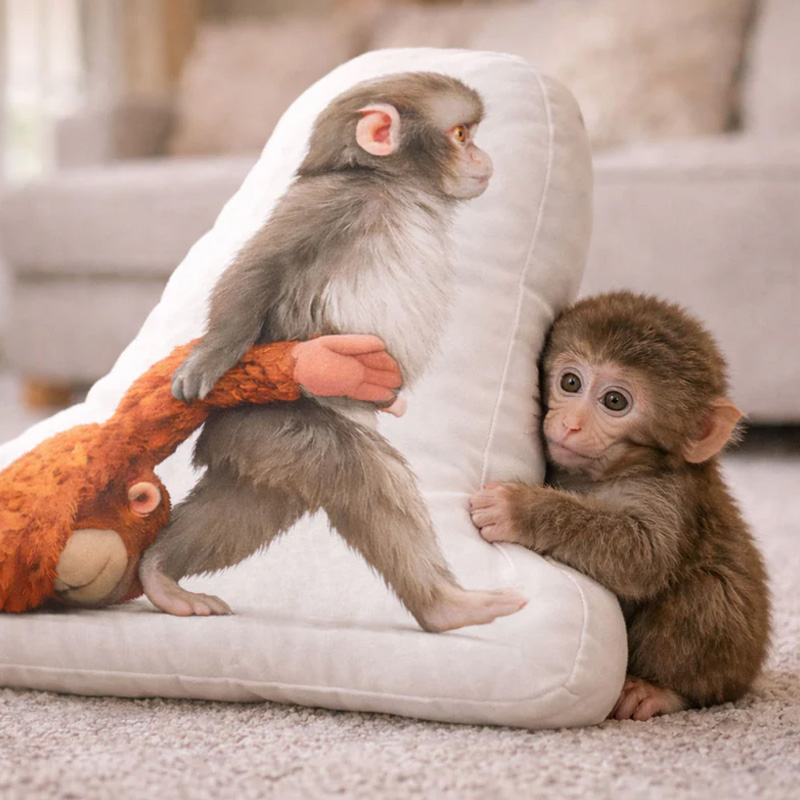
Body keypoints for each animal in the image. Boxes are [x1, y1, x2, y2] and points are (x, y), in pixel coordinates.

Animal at [139, 72, 528, 632]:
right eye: (460, 134)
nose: (483, 155)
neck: (393, 188)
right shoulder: (330, 201)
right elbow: (259, 266)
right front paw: (210, 356)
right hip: (279, 425)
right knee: (365, 474)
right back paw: (446, 606)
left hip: (266, 452)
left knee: (250, 505)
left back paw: (160, 570)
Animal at [469, 292, 770, 720]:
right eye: (571, 382)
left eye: (614, 401)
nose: (571, 424)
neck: (616, 470)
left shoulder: (669, 493)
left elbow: (646, 556)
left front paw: (517, 508)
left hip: (729, 666)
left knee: (706, 589)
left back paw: (662, 690)